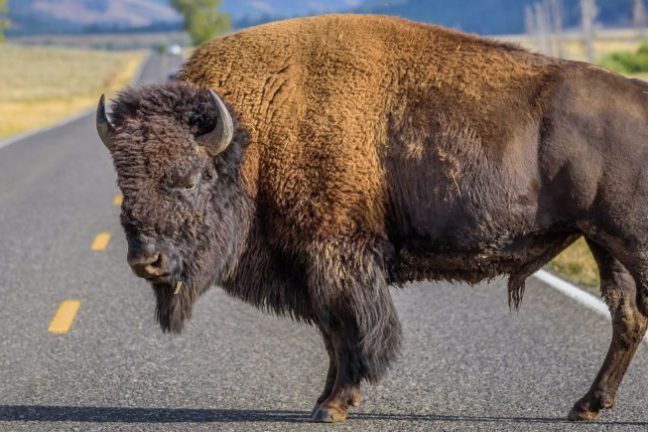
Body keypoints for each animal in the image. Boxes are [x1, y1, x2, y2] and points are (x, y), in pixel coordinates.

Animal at [96, 14, 648, 423]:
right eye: (124, 180)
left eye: (189, 177)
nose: (146, 260)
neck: (256, 130)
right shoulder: (311, 263)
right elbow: (331, 332)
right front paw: (326, 400)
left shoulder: (337, 254)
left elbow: (349, 328)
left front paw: (334, 405)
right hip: (603, 243)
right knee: (627, 315)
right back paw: (587, 406)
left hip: (629, 243)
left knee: (630, 313)